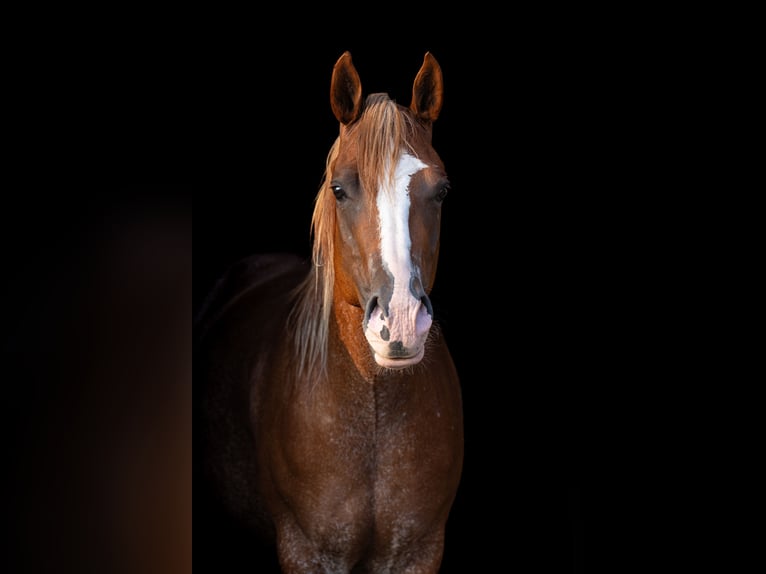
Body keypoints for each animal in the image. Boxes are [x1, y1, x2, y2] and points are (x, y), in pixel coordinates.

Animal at [195, 51, 464, 573]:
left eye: (441, 190)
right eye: (339, 189)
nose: (401, 322)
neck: (373, 415)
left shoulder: (418, 552)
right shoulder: (308, 552)